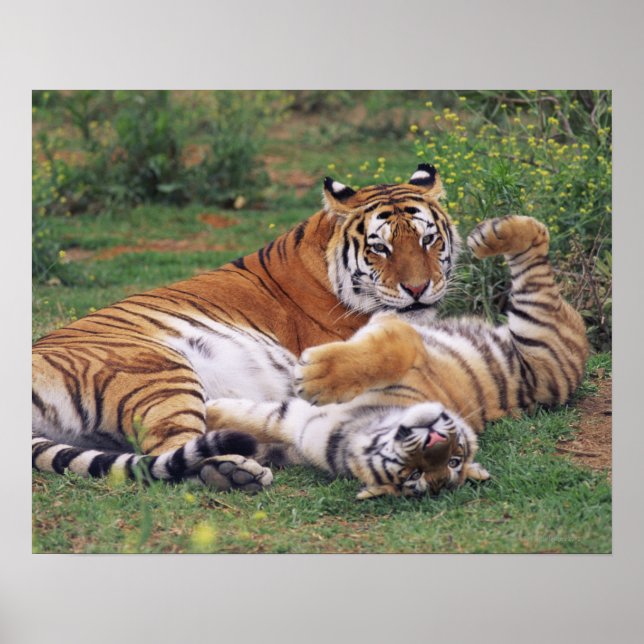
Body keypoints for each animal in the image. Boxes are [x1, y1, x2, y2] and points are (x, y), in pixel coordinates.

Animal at [32, 163, 461, 491]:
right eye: (379, 248)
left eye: (428, 239)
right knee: (171, 451)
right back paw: (236, 470)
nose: (418, 289)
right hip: (158, 369)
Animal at [204, 215, 589, 498]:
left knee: (538, 254)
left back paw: (499, 235)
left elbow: (393, 347)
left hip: (538, 327)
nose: (435, 439)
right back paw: (490, 234)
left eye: (452, 462)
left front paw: (315, 375)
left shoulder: (398, 328)